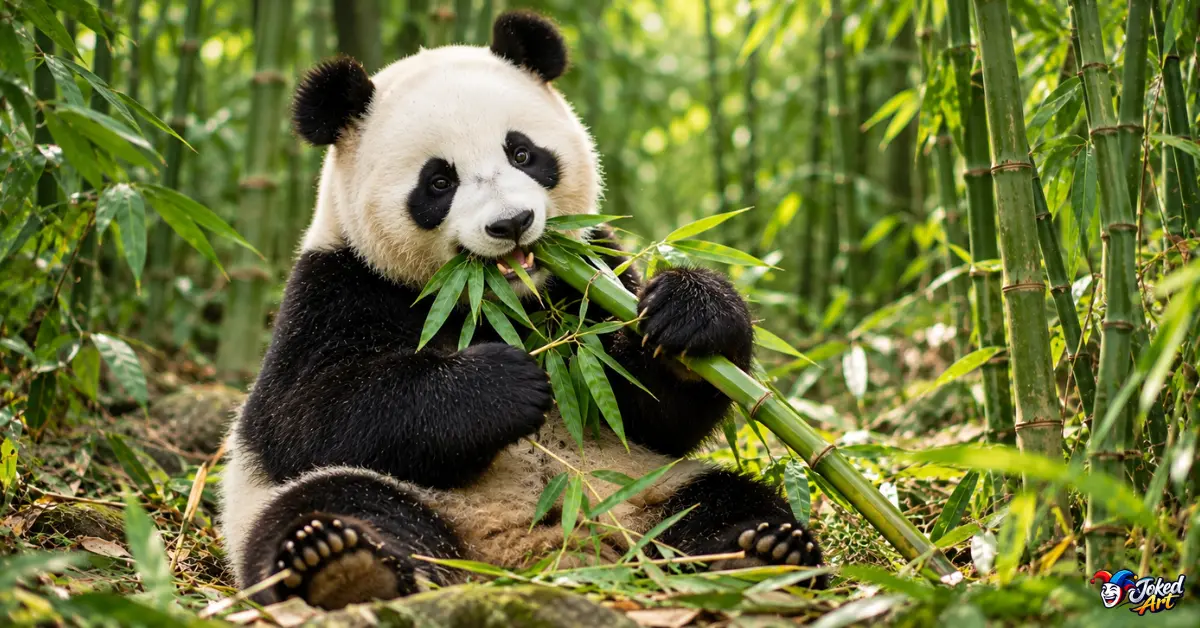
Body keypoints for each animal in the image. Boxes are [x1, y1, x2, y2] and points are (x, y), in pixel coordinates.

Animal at [219, 11, 826, 610]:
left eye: (522, 153)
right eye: (439, 181)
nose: (511, 223)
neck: (499, 300)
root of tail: (538, 551)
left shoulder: (592, 273)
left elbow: (650, 411)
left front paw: (689, 315)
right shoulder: (336, 287)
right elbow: (304, 417)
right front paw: (504, 384)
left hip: (650, 488)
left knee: (721, 502)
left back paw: (762, 555)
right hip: (399, 502)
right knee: (337, 500)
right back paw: (342, 568)